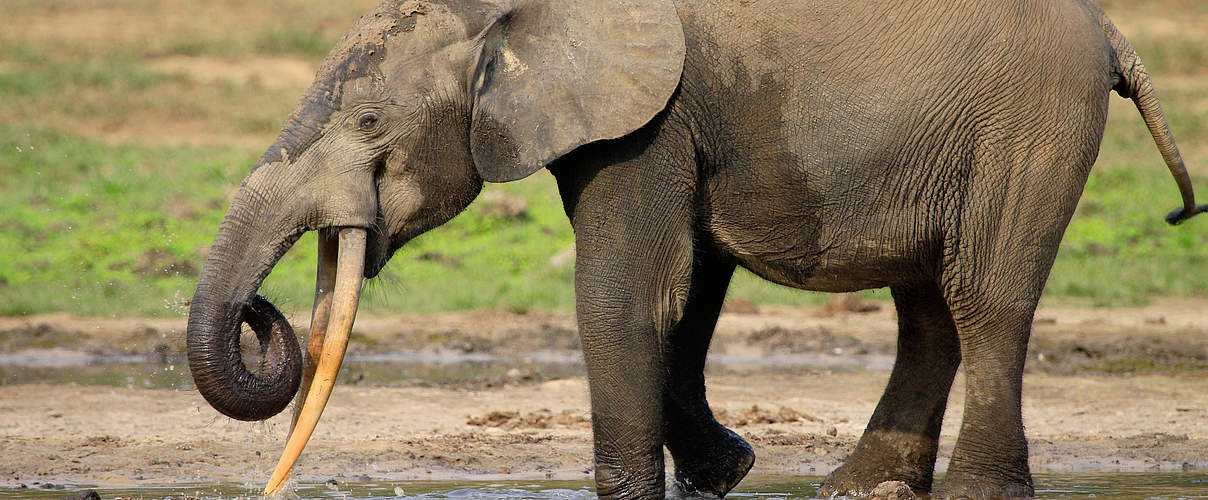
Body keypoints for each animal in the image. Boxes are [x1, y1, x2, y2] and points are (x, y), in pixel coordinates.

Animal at [183, 0, 1203, 497]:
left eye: (367, 123)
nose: (265, 314)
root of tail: (1112, 30)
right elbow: (688, 286)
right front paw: (728, 474)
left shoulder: (654, 111)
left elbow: (625, 292)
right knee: (930, 308)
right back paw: (858, 491)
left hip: (1025, 125)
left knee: (983, 297)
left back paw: (972, 496)